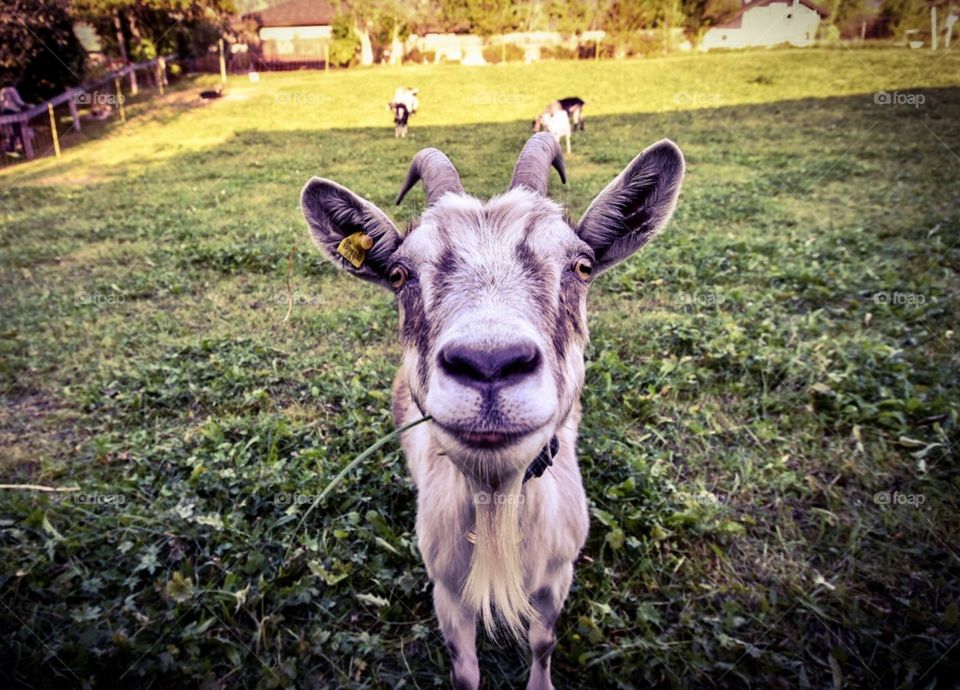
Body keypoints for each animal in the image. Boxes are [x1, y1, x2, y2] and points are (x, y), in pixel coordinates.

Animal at [300, 132, 684, 689]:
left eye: (582, 266)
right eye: (399, 273)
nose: (489, 363)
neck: (498, 497)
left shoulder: (556, 576)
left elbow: (543, 642)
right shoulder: (447, 590)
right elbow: (466, 671)